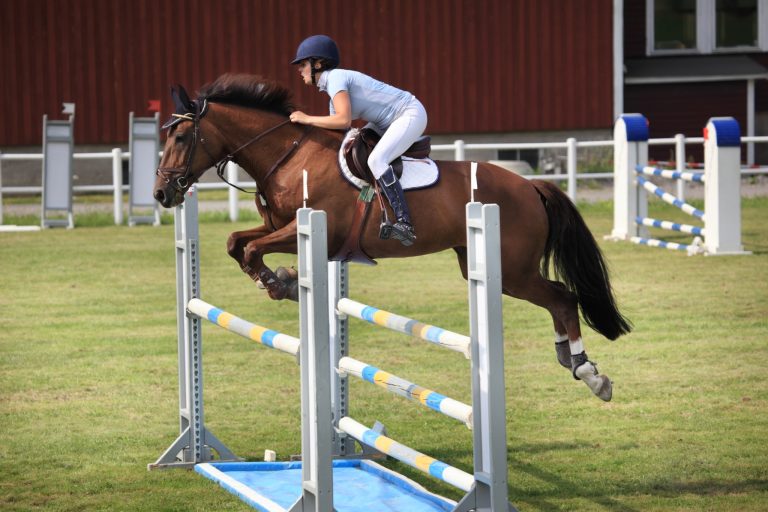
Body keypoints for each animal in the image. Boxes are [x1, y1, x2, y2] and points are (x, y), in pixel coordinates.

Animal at [154, 73, 631, 401]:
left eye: (182, 135)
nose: (161, 193)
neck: (288, 156)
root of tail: (531, 186)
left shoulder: (310, 229)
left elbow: (251, 248)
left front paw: (277, 283)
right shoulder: (278, 227)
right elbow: (237, 242)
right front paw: (280, 281)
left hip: (512, 270)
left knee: (563, 298)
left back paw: (590, 373)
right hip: (492, 267)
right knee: (557, 300)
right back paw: (571, 359)